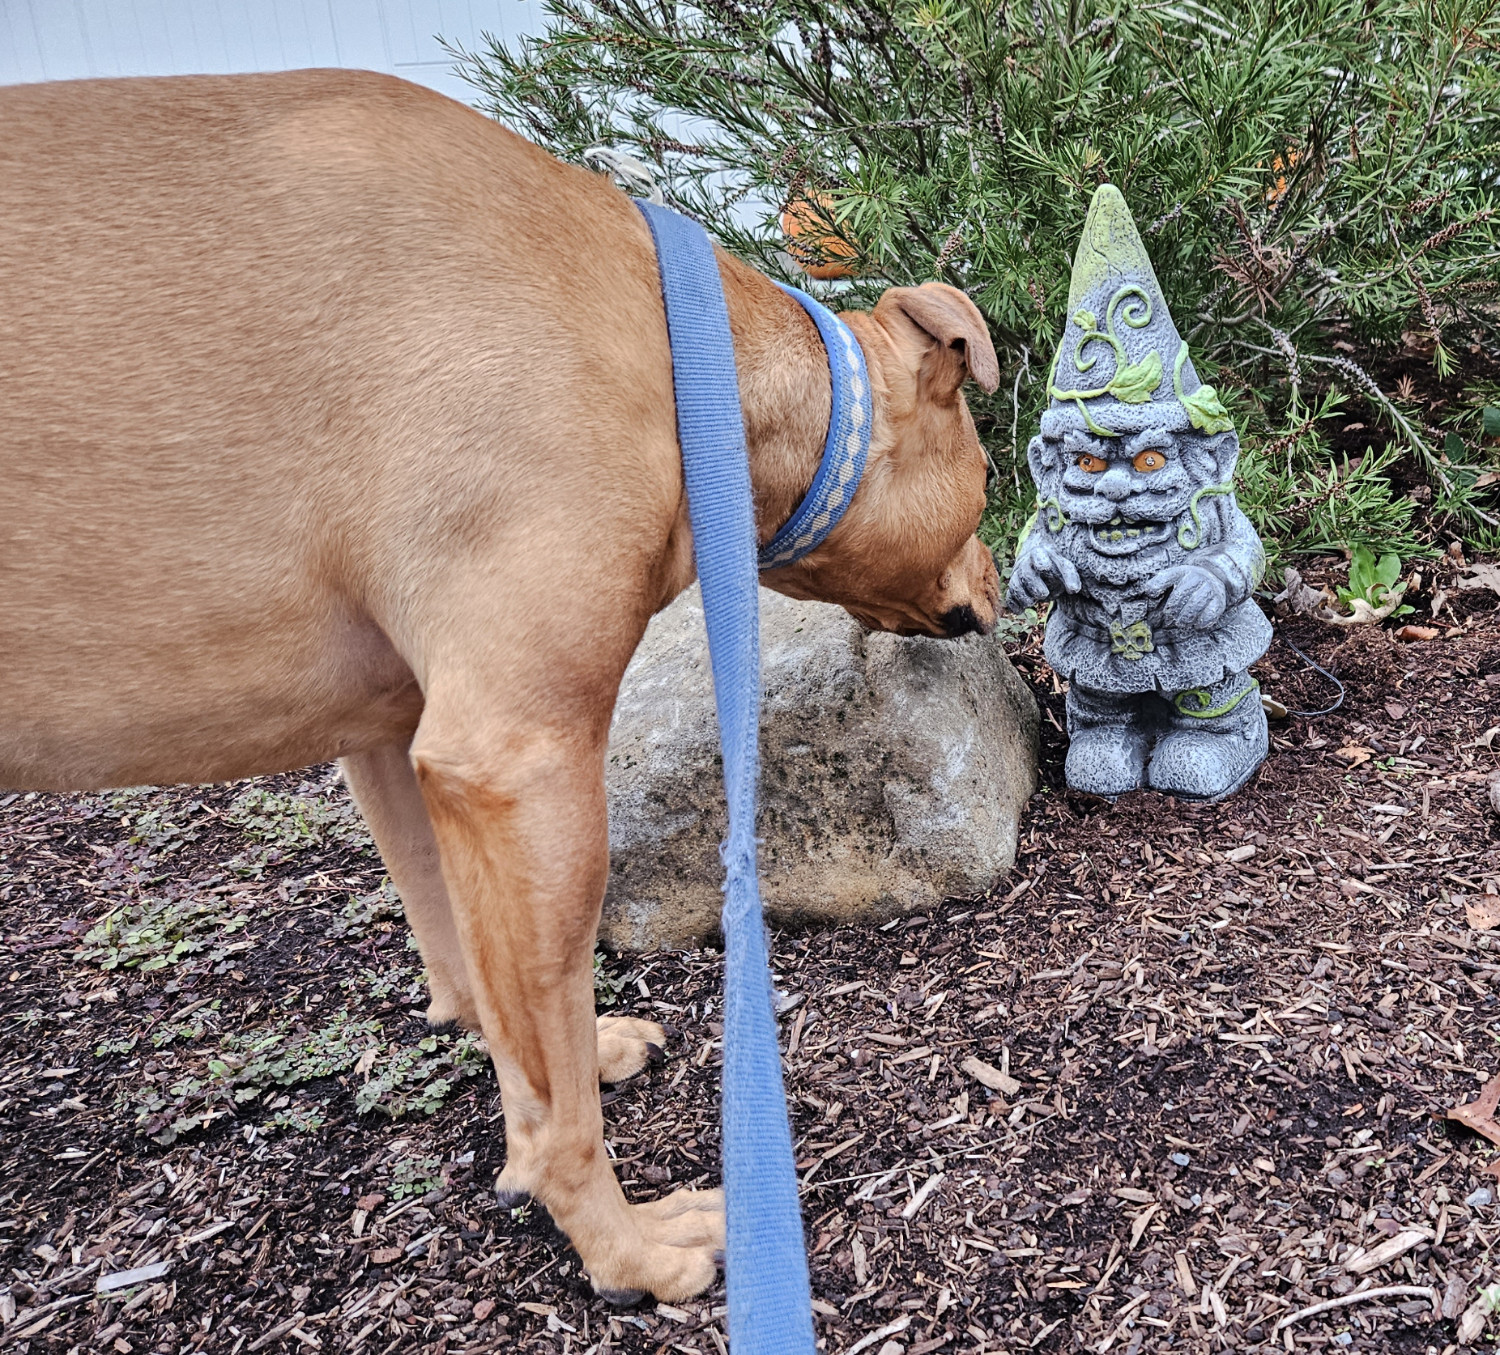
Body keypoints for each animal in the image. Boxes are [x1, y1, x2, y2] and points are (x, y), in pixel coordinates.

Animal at [5, 71, 1002, 1302]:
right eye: (988, 470)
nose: (1004, 582)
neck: (682, 354)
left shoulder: (397, 748)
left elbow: (492, 993)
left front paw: (572, 1051)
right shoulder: (518, 764)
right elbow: (556, 1102)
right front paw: (625, 1245)